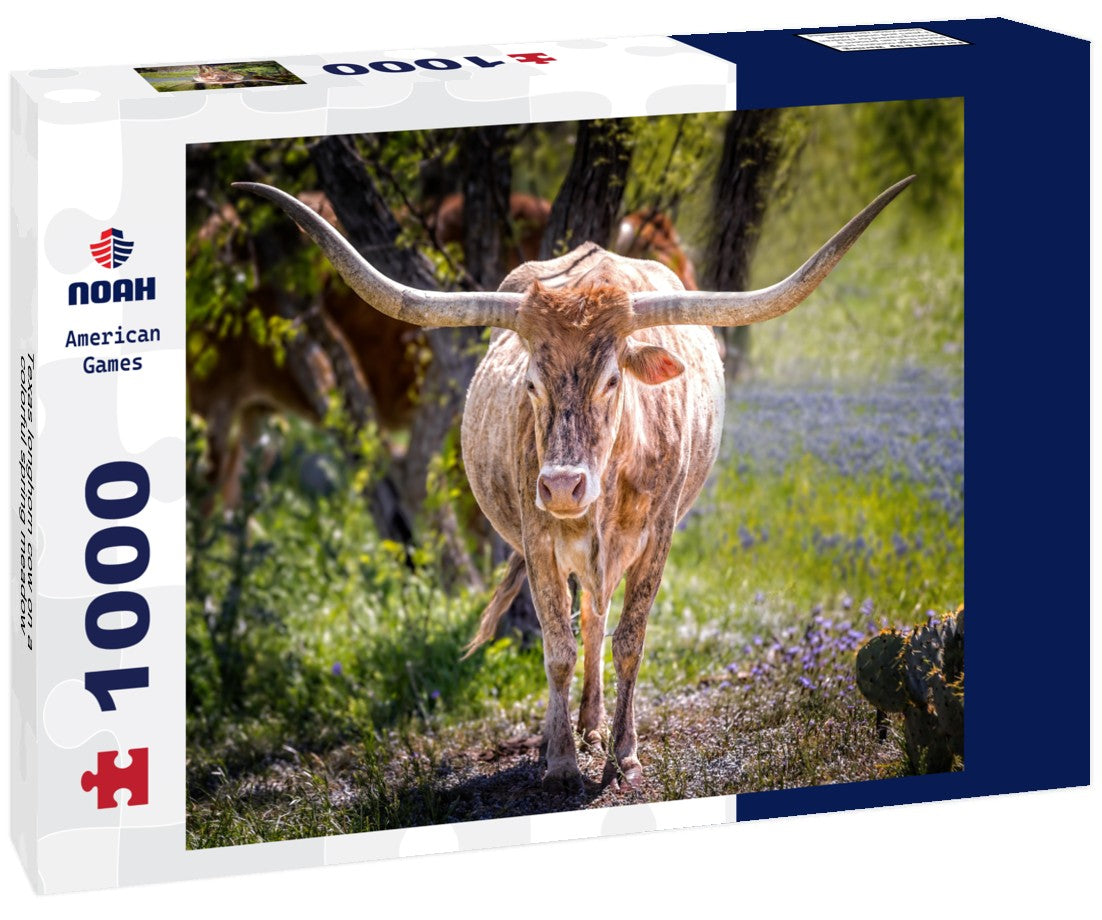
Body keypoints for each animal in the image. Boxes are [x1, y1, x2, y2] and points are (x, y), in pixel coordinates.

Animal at [234, 174, 913, 792]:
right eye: (532, 383)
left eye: (613, 379)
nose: (563, 487)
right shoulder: (538, 538)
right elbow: (556, 645)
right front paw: (559, 757)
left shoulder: (658, 534)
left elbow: (630, 638)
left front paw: (624, 754)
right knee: (579, 619)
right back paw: (571, 729)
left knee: (598, 616)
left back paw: (596, 724)